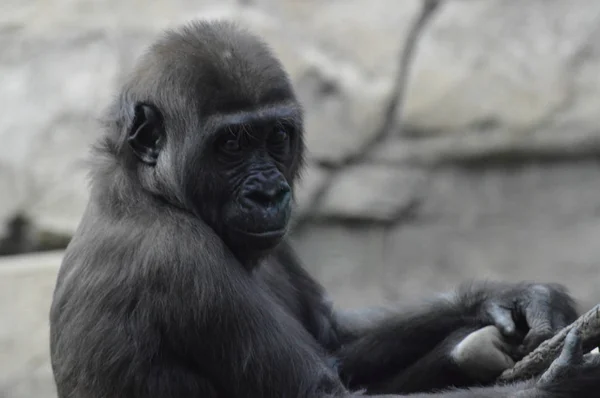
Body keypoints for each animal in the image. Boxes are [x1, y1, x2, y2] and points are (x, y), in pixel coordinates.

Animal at [49, 21, 600, 398]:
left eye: (275, 137)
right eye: (230, 145)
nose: (268, 194)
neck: (151, 188)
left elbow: (334, 336)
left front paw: (510, 296)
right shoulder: (180, 259)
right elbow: (326, 391)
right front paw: (556, 384)